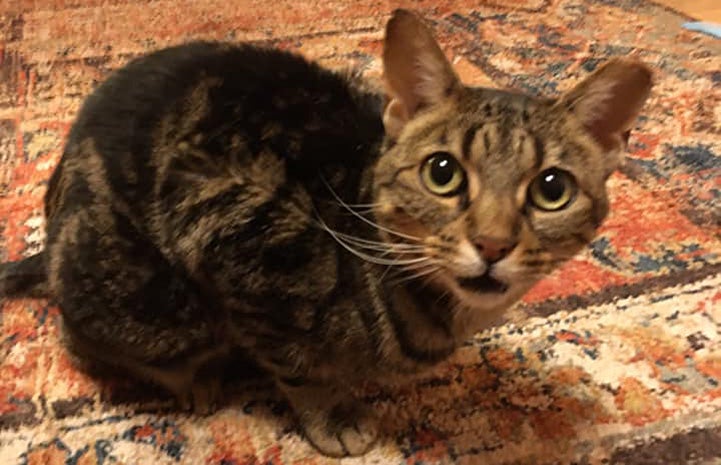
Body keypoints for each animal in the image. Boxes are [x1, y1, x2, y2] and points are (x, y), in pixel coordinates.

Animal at [0, 9, 652, 458]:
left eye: (551, 189)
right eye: (442, 173)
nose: (493, 244)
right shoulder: (236, 231)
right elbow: (302, 368)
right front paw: (333, 417)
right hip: (149, 301)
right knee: (84, 335)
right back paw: (195, 378)